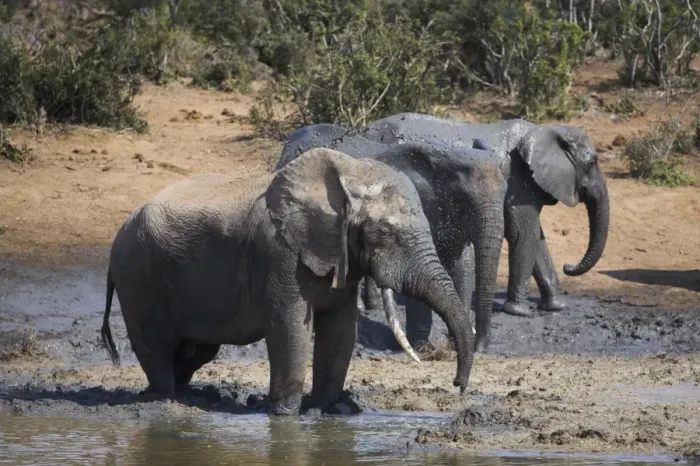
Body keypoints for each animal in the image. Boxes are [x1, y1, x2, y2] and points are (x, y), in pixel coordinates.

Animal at [100, 148, 475, 416]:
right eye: (383, 233)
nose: (458, 385)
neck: (347, 173)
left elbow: (340, 331)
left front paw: (326, 409)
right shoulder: (278, 253)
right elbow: (289, 328)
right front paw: (285, 414)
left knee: (198, 349)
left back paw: (192, 396)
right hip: (138, 276)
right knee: (155, 343)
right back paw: (163, 398)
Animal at [277, 124, 507, 350]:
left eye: (505, 194)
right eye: (465, 198)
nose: (481, 347)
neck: (445, 156)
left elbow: (464, 266)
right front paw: (421, 347)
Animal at [359, 113, 610, 334]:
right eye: (591, 163)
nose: (569, 266)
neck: (544, 130)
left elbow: (536, 239)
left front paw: (556, 307)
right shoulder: (520, 182)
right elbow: (524, 234)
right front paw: (519, 312)